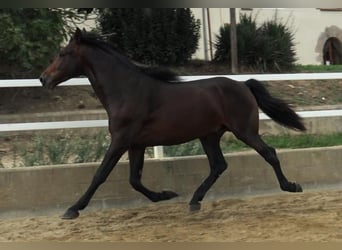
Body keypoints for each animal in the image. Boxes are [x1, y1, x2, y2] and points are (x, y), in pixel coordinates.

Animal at [38, 27, 306, 219]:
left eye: (63, 54)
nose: (43, 79)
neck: (127, 91)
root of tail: (243, 85)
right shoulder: (136, 144)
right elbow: (134, 180)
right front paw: (165, 195)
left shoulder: (120, 140)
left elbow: (100, 174)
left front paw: (72, 209)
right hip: (209, 135)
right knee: (218, 165)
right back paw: (194, 201)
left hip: (244, 131)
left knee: (269, 153)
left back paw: (291, 186)